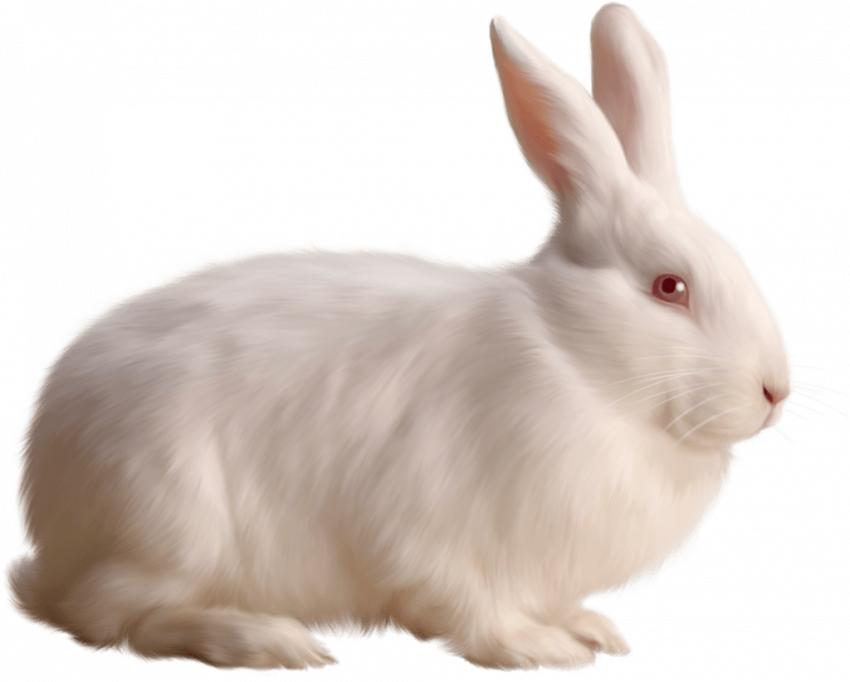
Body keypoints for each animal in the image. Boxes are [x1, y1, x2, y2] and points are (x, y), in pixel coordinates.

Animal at [4, 1, 792, 673]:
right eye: (670, 287)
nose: (775, 391)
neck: (575, 361)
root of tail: (47, 516)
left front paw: (590, 628)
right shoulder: (433, 533)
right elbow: (467, 611)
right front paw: (541, 648)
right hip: (173, 520)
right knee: (114, 614)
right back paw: (269, 639)